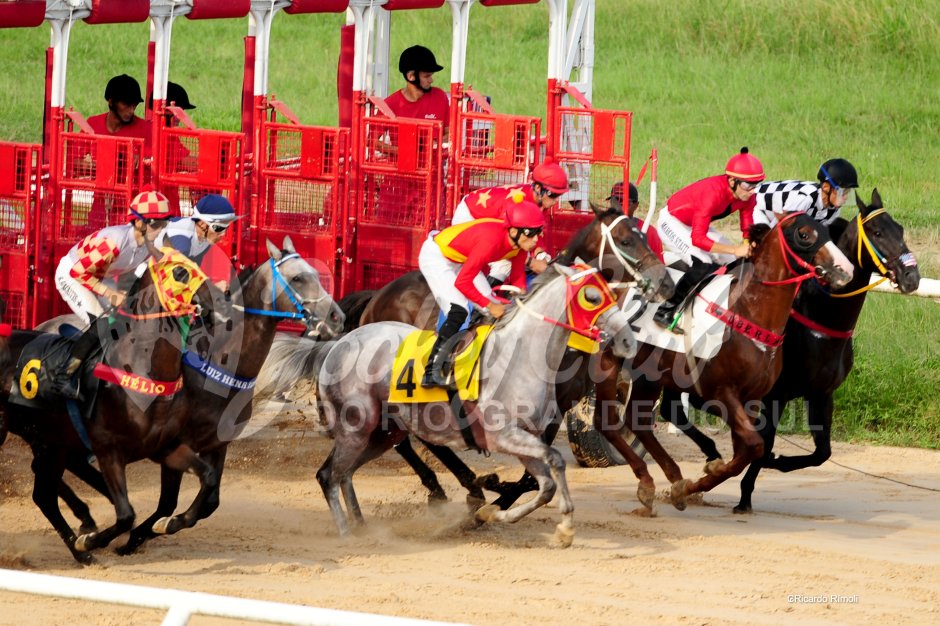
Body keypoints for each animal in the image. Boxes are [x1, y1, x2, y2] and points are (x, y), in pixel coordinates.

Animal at [0, 248, 220, 563]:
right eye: (180, 273)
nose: (214, 307)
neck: (141, 370)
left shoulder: (166, 447)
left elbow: (209, 478)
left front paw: (169, 523)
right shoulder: (108, 451)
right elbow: (126, 515)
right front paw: (91, 540)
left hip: (49, 440)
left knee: (44, 494)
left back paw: (81, 550)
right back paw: (82, 543)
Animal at [114, 236, 346, 554]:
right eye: (298, 278)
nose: (337, 317)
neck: (219, 366)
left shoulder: (217, 443)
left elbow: (210, 499)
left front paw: (161, 527)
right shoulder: (175, 444)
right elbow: (168, 503)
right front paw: (136, 535)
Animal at [315, 263, 638, 544]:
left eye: (612, 294)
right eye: (592, 297)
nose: (628, 341)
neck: (521, 357)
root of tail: (339, 344)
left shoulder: (527, 436)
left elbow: (544, 484)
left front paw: (501, 515)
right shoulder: (503, 435)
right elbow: (554, 462)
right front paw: (491, 508)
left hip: (381, 433)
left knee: (345, 473)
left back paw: (362, 526)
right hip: (356, 427)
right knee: (329, 475)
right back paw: (347, 534)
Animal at [613, 211, 855, 508]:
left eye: (830, 233)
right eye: (804, 235)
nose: (845, 269)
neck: (749, 314)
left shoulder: (753, 397)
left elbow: (749, 449)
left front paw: (699, 481)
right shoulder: (722, 392)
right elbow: (754, 445)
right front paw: (703, 478)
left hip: (650, 375)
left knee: (641, 420)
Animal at [656, 190, 920, 512]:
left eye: (900, 230)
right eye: (877, 232)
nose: (911, 277)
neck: (820, 323)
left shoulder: (821, 393)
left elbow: (822, 452)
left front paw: (772, 465)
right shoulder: (775, 394)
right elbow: (766, 440)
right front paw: (745, 494)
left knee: (672, 407)